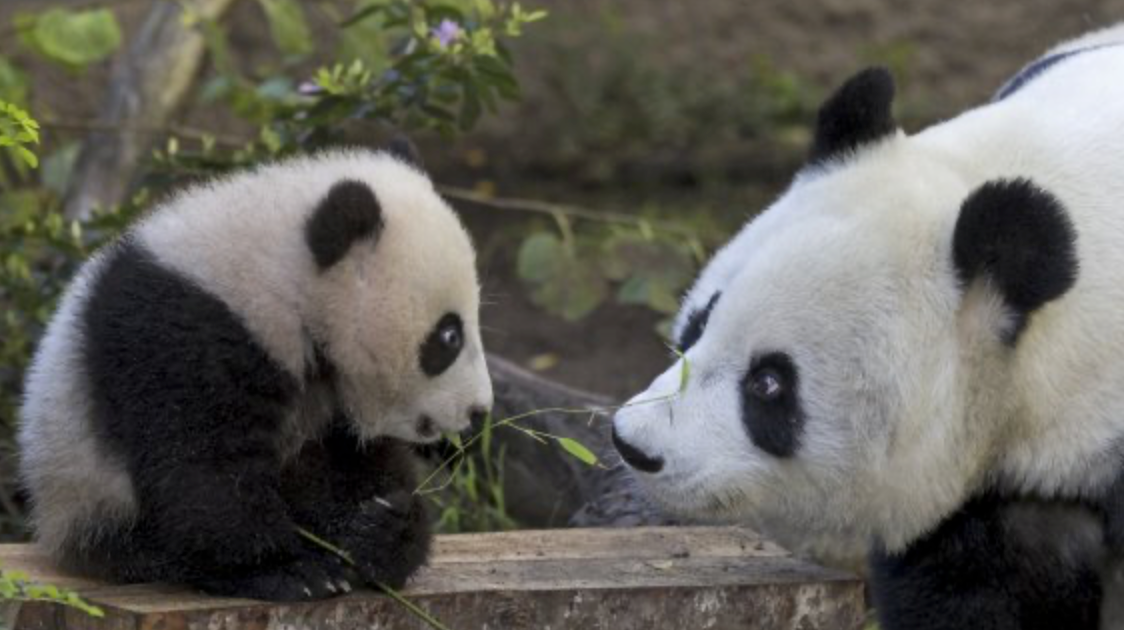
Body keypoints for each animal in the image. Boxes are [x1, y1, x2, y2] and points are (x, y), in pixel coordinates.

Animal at [17, 147, 493, 601]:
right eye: (449, 336)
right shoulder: (185, 334)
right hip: (82, 486)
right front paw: (286, 572)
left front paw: (383, 531)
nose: (479, 411)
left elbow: (341, 462)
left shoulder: (329, 390)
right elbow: (203, 466)